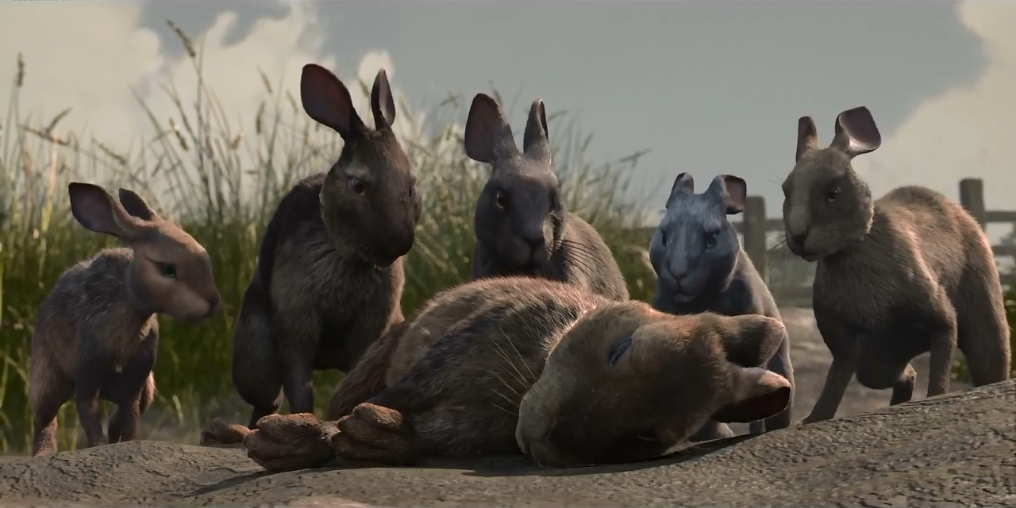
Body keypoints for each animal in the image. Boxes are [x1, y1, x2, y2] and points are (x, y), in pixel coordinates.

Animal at [29, 182, 220, 456]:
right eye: (168, 269)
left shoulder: (137, 378)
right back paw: (43, 453)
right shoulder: (88, 370)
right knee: (44, 419)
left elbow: (128, 418)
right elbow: (89, 414)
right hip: (47, 379)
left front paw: (124, 443)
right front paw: (98, 446)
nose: (214, 302)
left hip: (146, 390)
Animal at [226, 63, 421, 432]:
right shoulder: (296, 321)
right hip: (254, 357)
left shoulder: (372, 325)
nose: (400, 241)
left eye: (412, 186)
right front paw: (302, 420)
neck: (349, 256)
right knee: (265, 397)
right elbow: (299, 384)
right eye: (357, 186)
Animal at [239, 276, 791, 471]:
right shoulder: (450, 357)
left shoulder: (470, 427)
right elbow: (394, 397)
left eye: (647, 436)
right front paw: (282, 441)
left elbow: (427, 433)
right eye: (621, 350)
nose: (546, 443)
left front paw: (375, 437)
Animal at [783, 106, 1010, 423]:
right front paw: (814, 419)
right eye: (786, 191)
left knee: (990, 362)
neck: (853, 250)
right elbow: (835, 380)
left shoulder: (939, 316)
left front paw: (936, 398)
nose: (798, 235)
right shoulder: (842, 340)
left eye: (833, 192)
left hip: (984, 308)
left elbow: (943, 353)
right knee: (897, 373)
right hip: (879, 355)